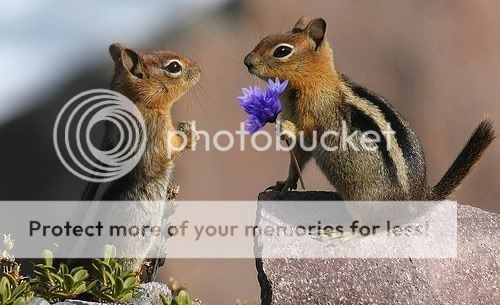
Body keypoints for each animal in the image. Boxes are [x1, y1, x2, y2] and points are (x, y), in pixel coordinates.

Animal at [81, 42, 199, 201]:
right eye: (174, 67)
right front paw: (189, 134)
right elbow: (166, 151)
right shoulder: (152, 133)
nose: (199, 69)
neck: (139, 103)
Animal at [244, 17, 494, 202]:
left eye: (282, 51)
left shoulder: (319, 112)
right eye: (265, 38)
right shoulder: (301, 143)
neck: (315, 81)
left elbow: (309, 130)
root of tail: (419, 195)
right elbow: (296, 162)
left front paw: (285, 127)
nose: (247, 61)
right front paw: (283, 185)